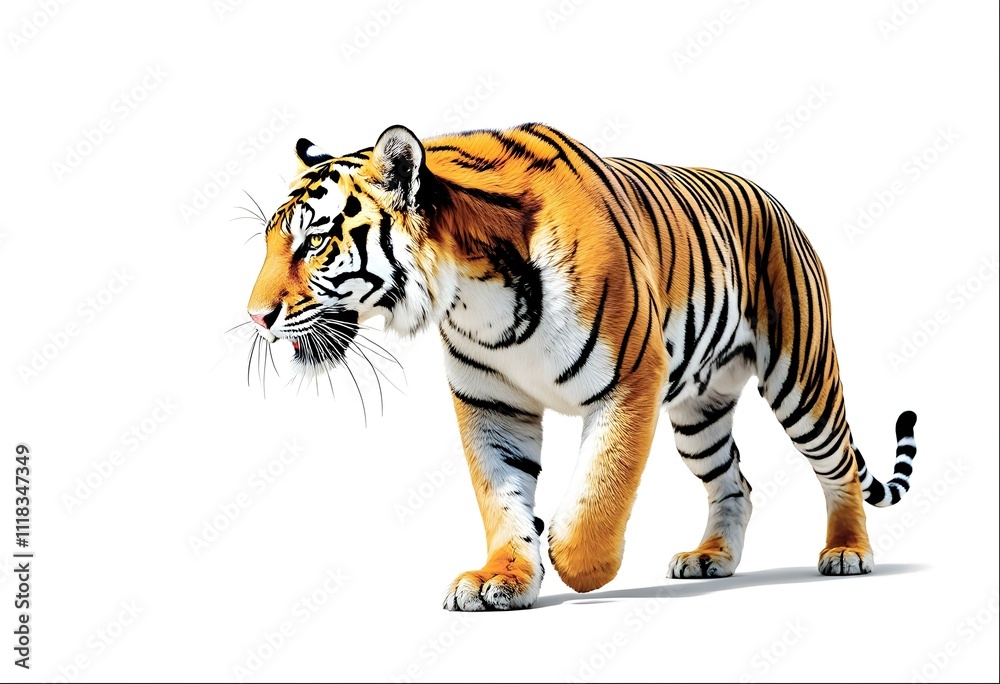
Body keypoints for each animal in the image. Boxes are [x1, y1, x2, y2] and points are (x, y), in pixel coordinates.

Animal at [246, 123, 918, 611]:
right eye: (271, 243)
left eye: (313, 243)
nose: (255, 317)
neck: (471, 292)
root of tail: (777, 202)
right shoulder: (491, 404)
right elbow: (500, 497)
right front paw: (502, 578)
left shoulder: (632, 378)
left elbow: (599, 492)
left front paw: (579, 566)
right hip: (699, 415)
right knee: (736, 485)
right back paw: (710, 559)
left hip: (802, 377)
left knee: (839, 466)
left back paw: (846, 552)